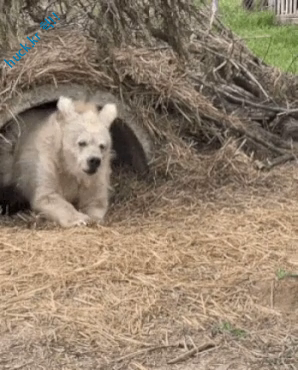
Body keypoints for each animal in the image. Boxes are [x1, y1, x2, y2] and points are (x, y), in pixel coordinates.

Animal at [8, 95, 117, 228]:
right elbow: (47, 196)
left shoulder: (97, 173)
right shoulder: (47, 161)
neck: (67, 165)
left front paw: (93, 218)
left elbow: (95, 198)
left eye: (102, 146)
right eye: (82, 142)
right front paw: (80, 219)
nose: (94, 160)